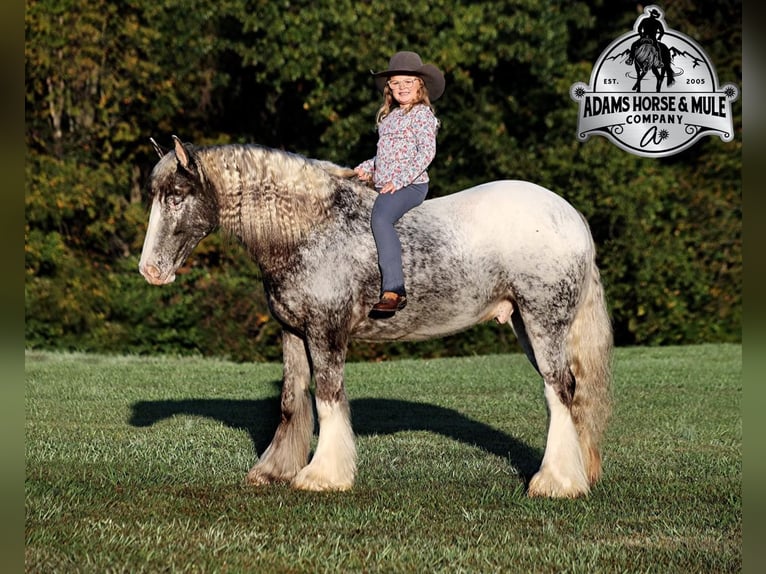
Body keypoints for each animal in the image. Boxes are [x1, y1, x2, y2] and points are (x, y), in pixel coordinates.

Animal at [138, 135, 616, 500]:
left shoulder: (326, 331)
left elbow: (328, 397)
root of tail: (570, 216)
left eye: (176, 197)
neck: (309, 229)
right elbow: (292, 401)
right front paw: (274, 471)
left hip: (543, 322)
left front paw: (322, 476)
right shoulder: (292, 332)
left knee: (560, 390)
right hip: (524, 325)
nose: (150, 270)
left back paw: (556, 482)